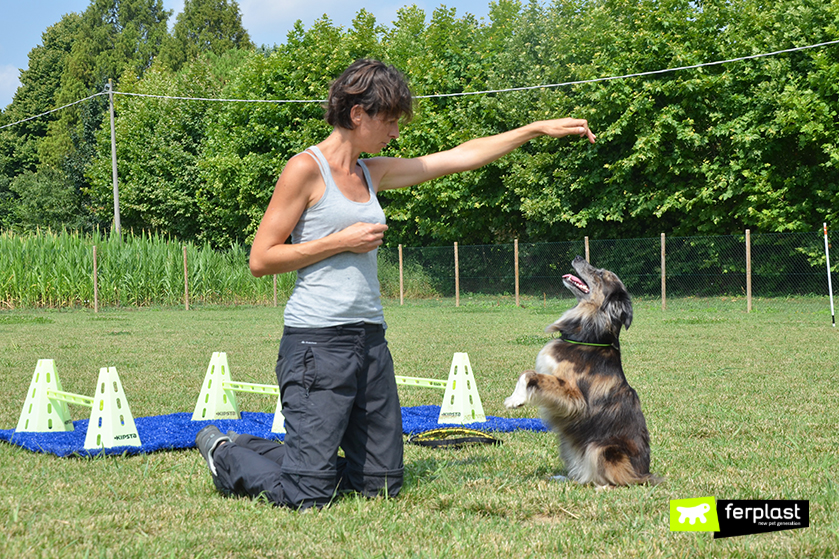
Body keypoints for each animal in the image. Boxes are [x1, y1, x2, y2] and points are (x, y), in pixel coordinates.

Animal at [506, 256, 664, 488]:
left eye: (600, 274)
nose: (578, 257)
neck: (587, 337)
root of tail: (644, 472)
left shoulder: (575, 397)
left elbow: (529, 374)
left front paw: (514, 399)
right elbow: (527, 374)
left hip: (602, 448)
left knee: (622, 479)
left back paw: (603, 487)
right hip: (569, 445)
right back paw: (566, 478)